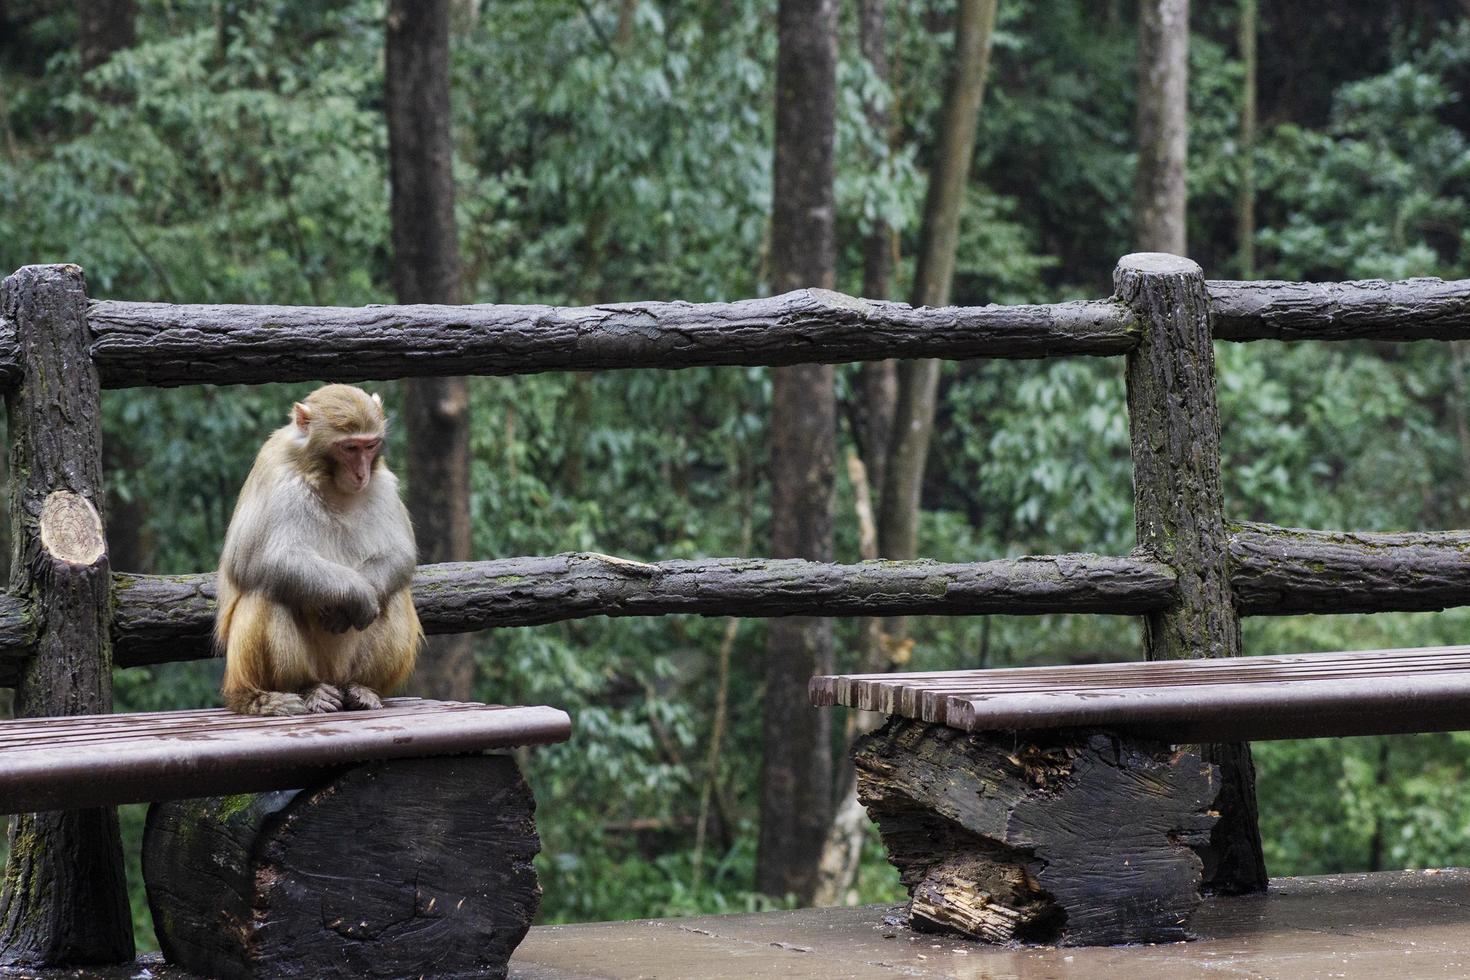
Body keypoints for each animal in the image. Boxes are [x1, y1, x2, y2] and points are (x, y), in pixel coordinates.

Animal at [217, 387, 426, 717]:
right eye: (350, 448)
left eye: (370, 446)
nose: (361, 474)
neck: (327, 479)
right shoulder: (275, 472)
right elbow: (252, 560)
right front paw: (354, 593)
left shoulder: (382, 481)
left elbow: (399, 554)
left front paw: (360, 594)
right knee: (269, 590)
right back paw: (292, 692)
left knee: (394, 595)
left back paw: (361, 688)